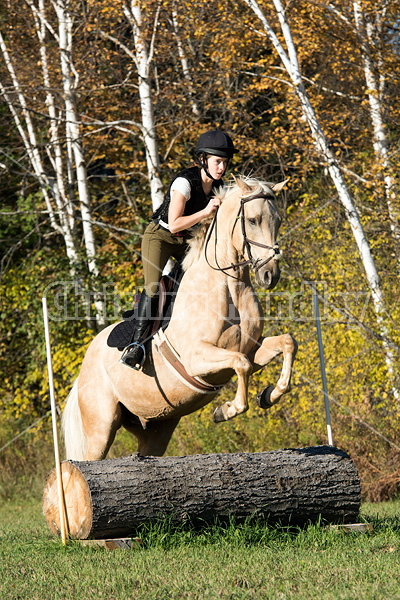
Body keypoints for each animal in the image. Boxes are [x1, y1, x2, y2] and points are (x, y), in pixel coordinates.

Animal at [62, 177, 296, 460]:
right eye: (252, 220)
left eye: (278, 221)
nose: (270, 275)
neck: (231, 287)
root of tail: (81, 374)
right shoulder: (197, 358)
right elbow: (240, 364)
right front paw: (226, 410)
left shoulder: (252, 349)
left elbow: (286, 343)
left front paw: (269, 396)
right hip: (101, 427)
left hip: (155, 428)